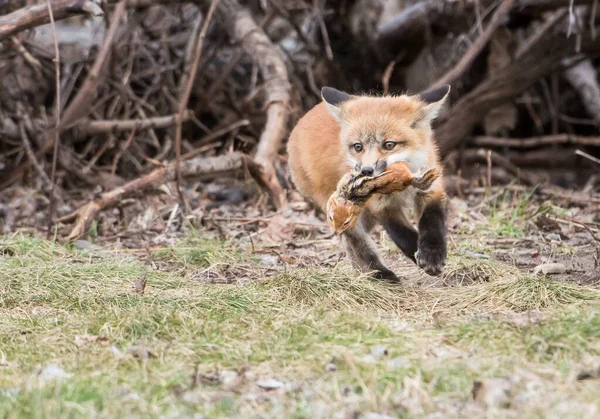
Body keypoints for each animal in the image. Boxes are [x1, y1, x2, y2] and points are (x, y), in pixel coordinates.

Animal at [288, 85, 450, 282]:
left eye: (389, 145)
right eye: (358, 147)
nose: (366, 171)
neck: (403, 185)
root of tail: (301, 121)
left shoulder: (430, 189)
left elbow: (432, 220)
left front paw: (432, 254)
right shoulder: (381, 206)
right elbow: (402, 236)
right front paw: (417, 253)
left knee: (349, 245)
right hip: (344, 208)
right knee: (357, 242)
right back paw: (381, 274)